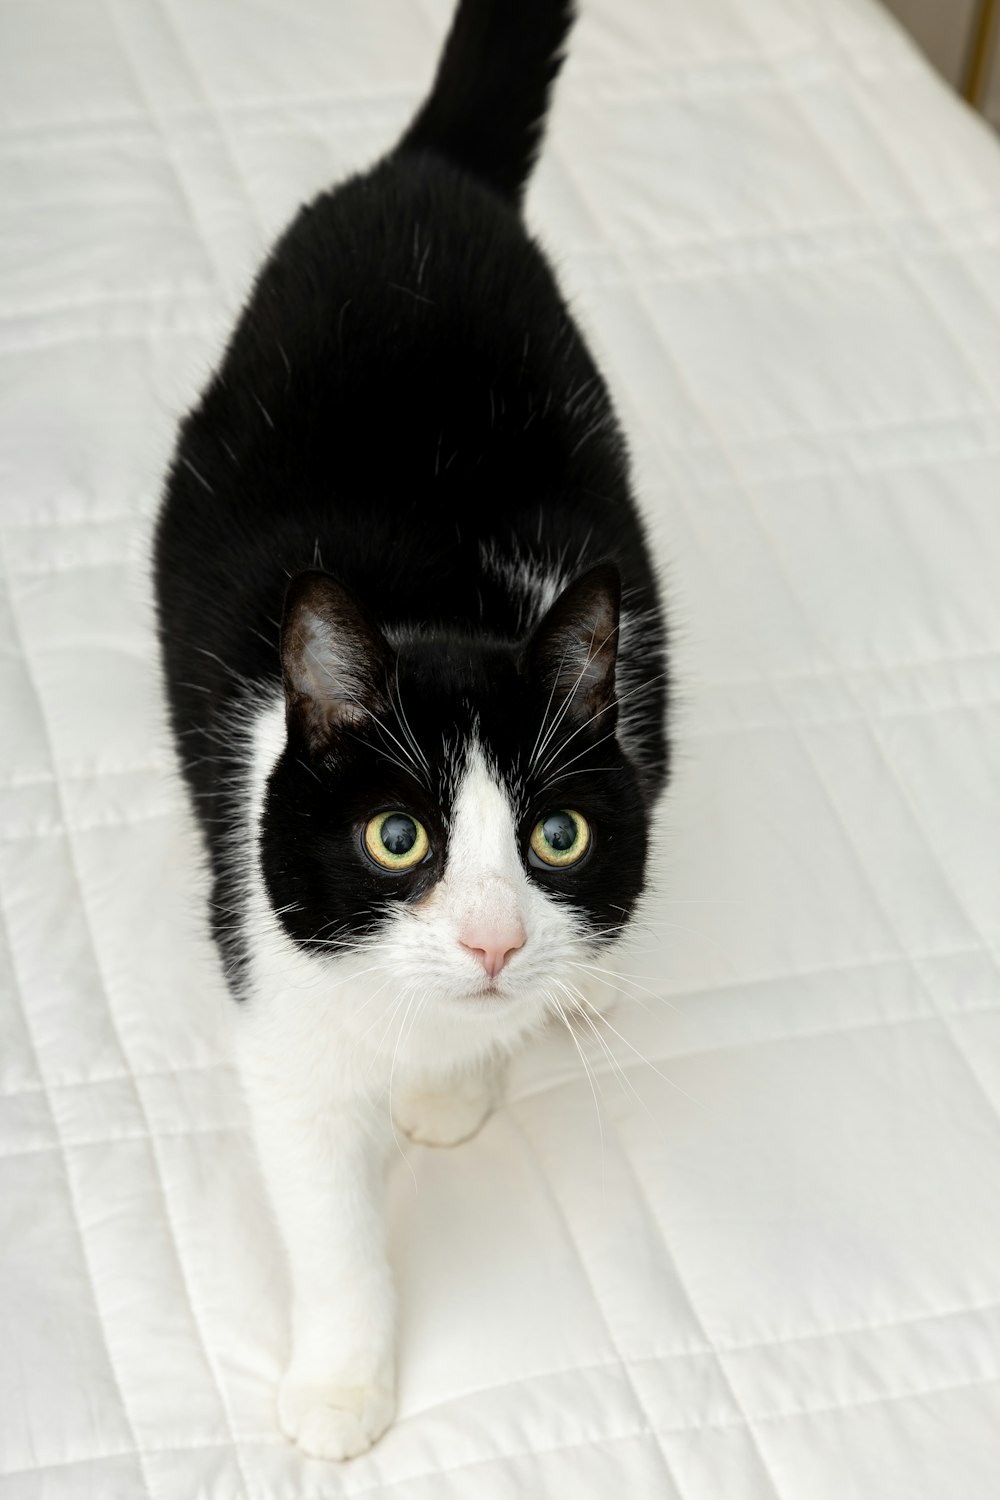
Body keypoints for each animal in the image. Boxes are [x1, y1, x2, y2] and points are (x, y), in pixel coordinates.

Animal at [156, 0, 668, 1464]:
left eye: (556, 837)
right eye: (397, 838)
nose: (495, 942)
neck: (440, 604)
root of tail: (424, 171)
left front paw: (462, 1083)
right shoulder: (275, 998)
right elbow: (329, 1222)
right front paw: (341, 1386)